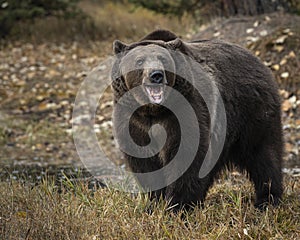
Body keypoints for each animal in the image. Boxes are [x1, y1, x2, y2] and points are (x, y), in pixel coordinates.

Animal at [110, 29, 284, 210]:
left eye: (163, 59)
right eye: (139, 60)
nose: (156, 75)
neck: (154, 111)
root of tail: (258, 60)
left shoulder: (185, 112)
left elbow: (186, 155)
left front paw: (177, 205)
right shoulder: (134, 121)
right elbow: (145, 162)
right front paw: (155, 202)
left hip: (252, 113)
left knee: (263, 154)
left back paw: (267, 200)